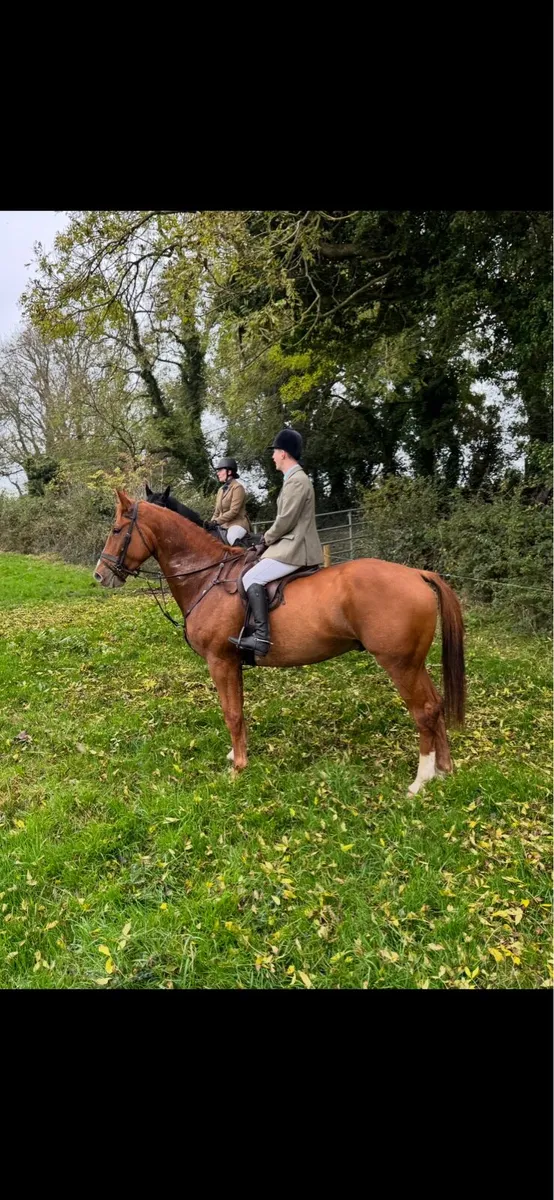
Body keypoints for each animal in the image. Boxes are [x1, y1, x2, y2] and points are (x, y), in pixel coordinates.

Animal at [94, 489, 466, 795]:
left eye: (116, 530)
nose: (100, 575)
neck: (207, 576)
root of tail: (416, 574)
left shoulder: (220, 661)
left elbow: (231, 713)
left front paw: (238, 769)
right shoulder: (232, 662)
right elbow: (239, 710)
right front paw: (237, 754)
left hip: (399, 664)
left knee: (423, 711)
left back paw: (420, 781)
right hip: (414, 663)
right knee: (435, 705)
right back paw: (444, 770)